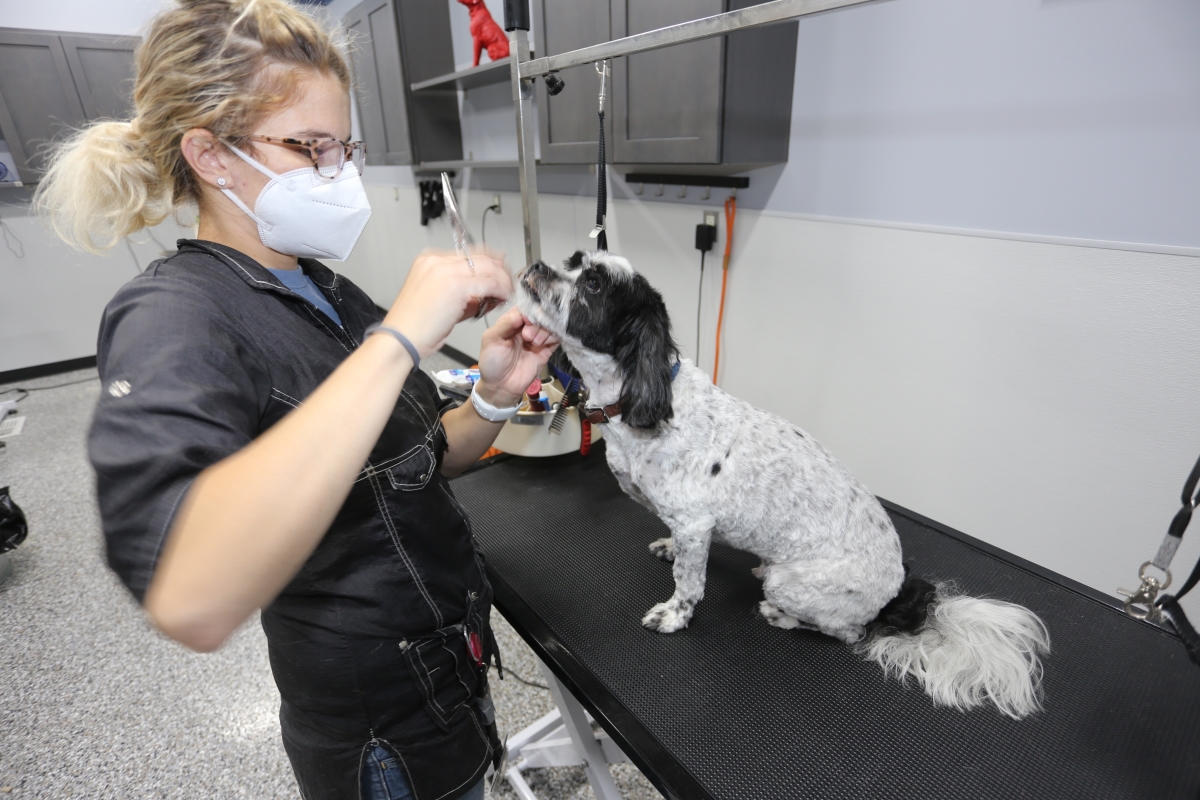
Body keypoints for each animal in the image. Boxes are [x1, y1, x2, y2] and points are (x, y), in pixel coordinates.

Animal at [516, 250, 1051, 719]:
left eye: (593, 284)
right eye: (571, 260)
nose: (537, 264)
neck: (636, 399)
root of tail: (899, 587)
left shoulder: (695, 523)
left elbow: (689, 583)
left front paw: (675, 616)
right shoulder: (689, 527)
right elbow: (681, 550)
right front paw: (667, 547)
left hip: (796, 585)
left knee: (849, 632)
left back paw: (782, 615)